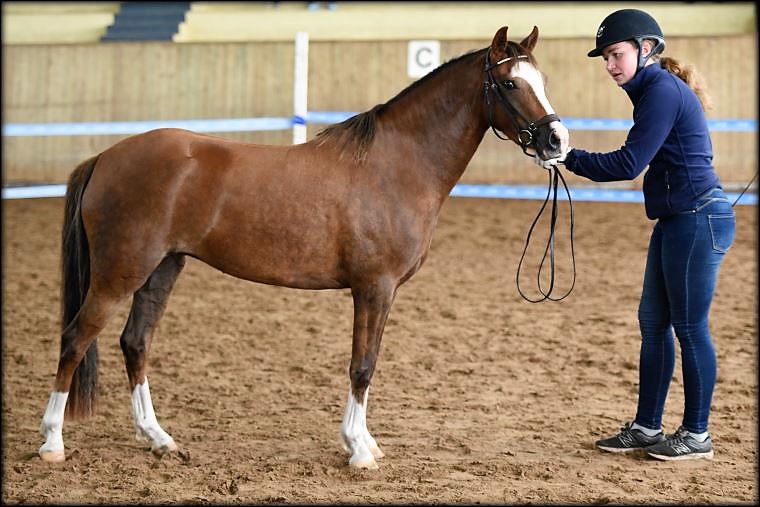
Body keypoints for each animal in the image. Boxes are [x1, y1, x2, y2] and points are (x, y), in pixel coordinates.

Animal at [38, 25, 568, 470]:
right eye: (510, 84)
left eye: (541, 80)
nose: (556, 140)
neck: (395, 166)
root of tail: (106, 157)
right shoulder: (374, 288)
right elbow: (362, 365)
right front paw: (358, 450)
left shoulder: (382, 291)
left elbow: (368, 362)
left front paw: (365, 442)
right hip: (120, 272)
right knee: (76, 338)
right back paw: (52, 443)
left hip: (161, 269)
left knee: (135, 341)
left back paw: (159, 438)